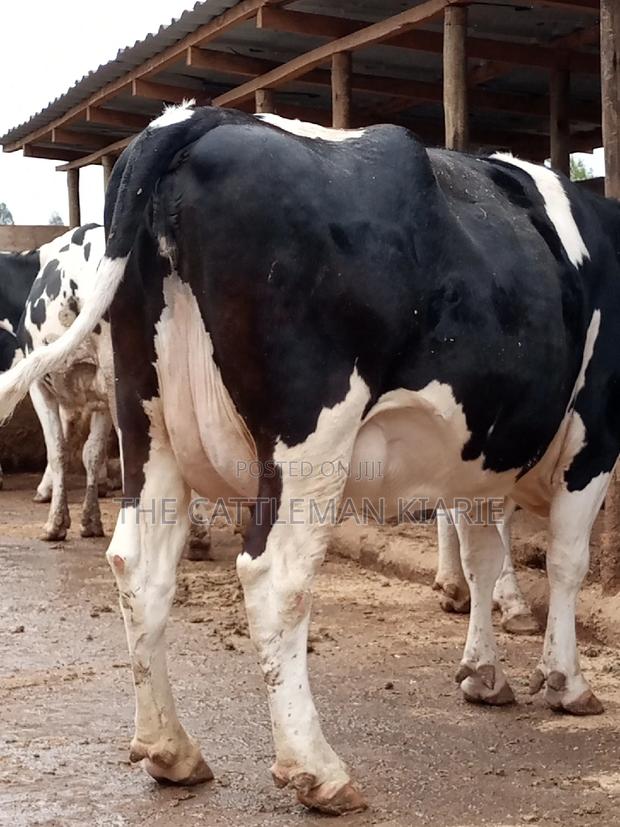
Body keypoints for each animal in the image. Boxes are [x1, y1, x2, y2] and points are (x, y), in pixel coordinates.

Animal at [0, 103, 618, 814]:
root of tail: (192, 120)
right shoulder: (595, 435)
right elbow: (566, 564)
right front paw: (567, 681)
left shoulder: (479, 451)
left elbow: (483, 559)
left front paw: (483, 673)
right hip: (310, 441)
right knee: (275, 579)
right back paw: (318, 770)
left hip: (147, 423)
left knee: (140, 566)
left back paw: (170, 751)